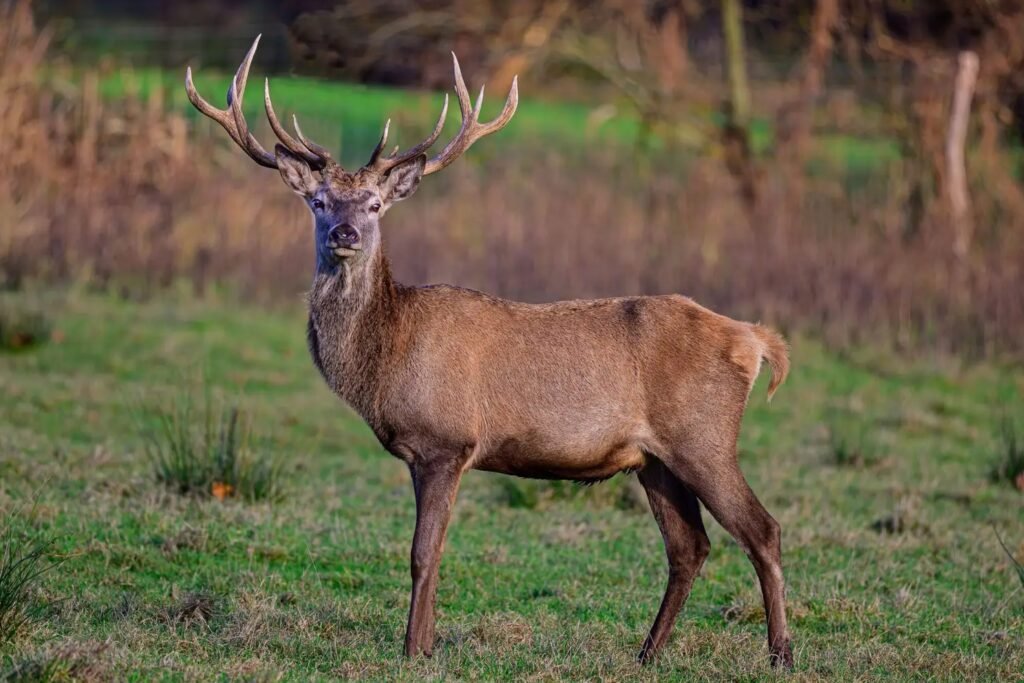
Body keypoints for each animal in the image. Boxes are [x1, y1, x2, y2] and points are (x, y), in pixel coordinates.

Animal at [186, 36, 794, 669]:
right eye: (321, 202)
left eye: (375, 205)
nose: (344, 234)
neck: (387, 357)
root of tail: (757, 341)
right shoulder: (425, 453)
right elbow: (433, 551)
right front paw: (427, 644)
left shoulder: (446, 441)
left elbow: (422, 553)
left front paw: (413, 650)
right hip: (654, 460)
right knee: (689, 546)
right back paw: (647, 653)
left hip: (704, 437)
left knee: (763, 530)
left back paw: (780, 653)